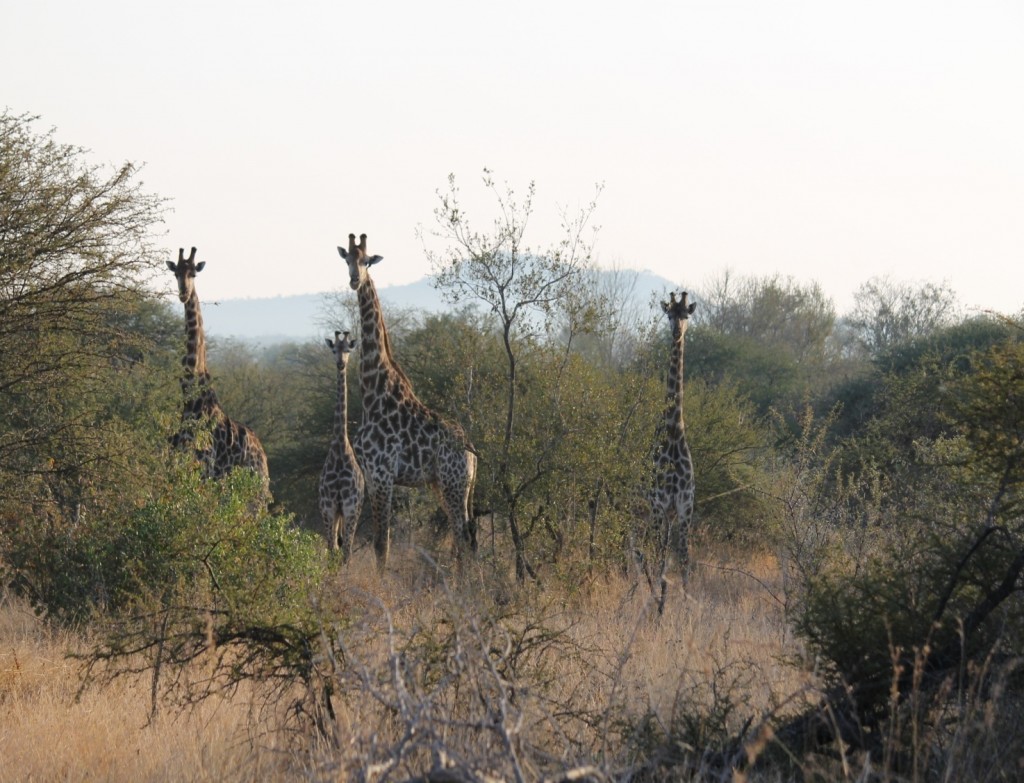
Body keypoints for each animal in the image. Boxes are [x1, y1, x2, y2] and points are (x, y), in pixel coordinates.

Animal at [164, 247, 268, 497]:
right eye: (176, 273)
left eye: (193, 273)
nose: (183, 293)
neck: (191, 399)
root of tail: (264, 459)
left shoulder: (205, 468)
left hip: (255, 494)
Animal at [337, 232, 477, 569]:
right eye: (347, 260)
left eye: (367, 261)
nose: (354, 280)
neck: (373, 394)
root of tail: (473, 455)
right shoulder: (370, 474)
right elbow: (378, 542)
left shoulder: (383, 473)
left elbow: (381, 544)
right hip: (448, 486)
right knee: (463, 538)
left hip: (454, 484)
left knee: (463, 536)